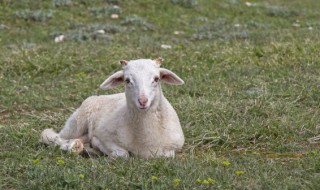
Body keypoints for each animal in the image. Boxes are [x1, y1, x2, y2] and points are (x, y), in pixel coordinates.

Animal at [40, 57, 185, 158]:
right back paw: (72, 146)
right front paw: (100, 149)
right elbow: (122, 154)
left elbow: (167, 155)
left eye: (156, 79)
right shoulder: (104, 137)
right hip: (76, 123)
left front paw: (93, 149)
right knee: (53, 137)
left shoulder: (173, 148)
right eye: (127, 80)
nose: (143, 101)